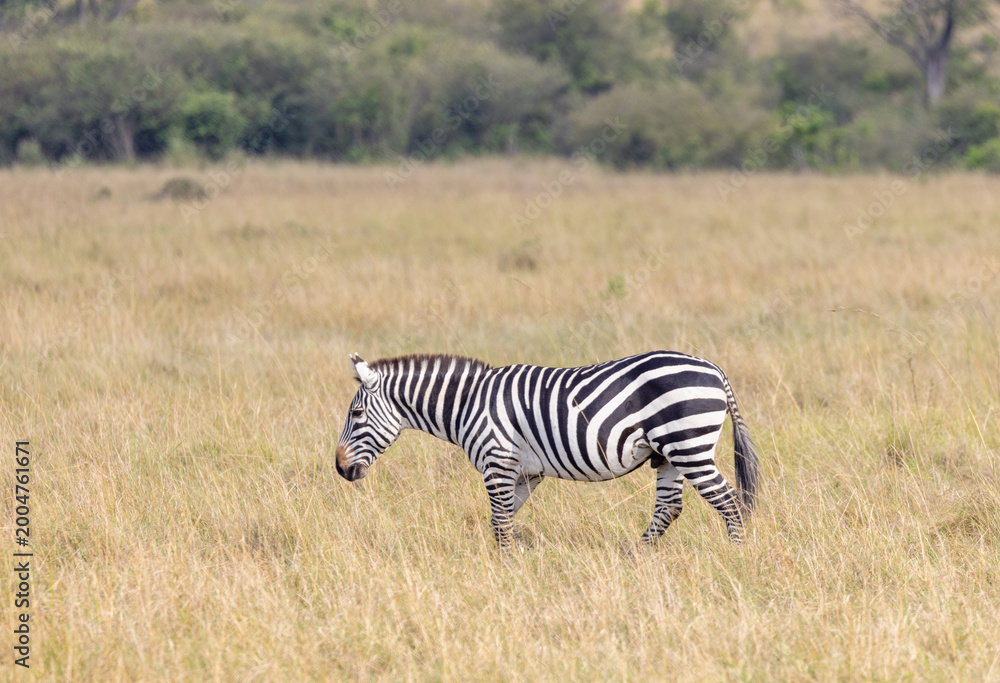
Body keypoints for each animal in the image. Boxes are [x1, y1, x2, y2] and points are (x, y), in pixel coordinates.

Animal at [335, 351, 760, 549]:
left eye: (356, 414)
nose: (339, 468)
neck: (469, 404)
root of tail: (715, 369)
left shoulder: (497, 462)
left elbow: (500, 521)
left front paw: (506, 568)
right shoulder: (526, 472)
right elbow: (503, 520)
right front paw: (511, 559)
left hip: (689, 446)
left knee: (730, 502)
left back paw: (735, 557)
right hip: (668, 455)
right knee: (669, 508)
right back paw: (633, 558)